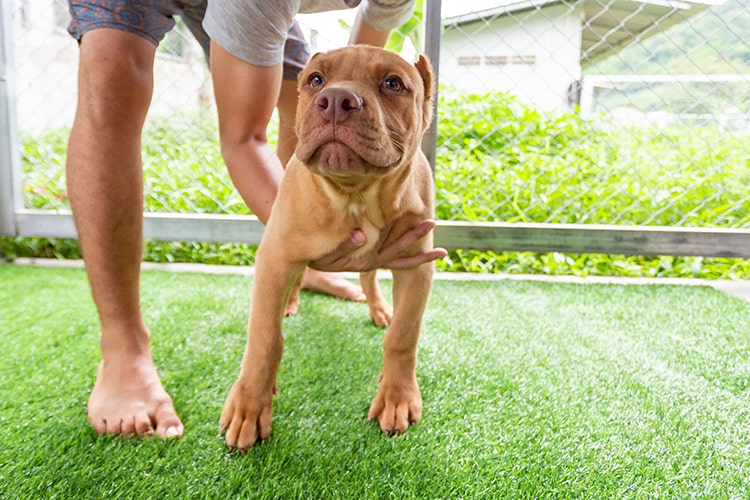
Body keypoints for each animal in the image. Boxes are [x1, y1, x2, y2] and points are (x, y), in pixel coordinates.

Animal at [220, 46, 438, 454]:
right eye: (315, 80)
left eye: (393, 84)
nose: (336, 100)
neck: (354, 195)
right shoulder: (275, 258)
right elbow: (264, 338)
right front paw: (249, 405)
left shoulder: (416, 266)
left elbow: (403, 336)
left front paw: (397, 396)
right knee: (297, 283)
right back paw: (290, 305)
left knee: (369, 281)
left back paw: (378, 309)